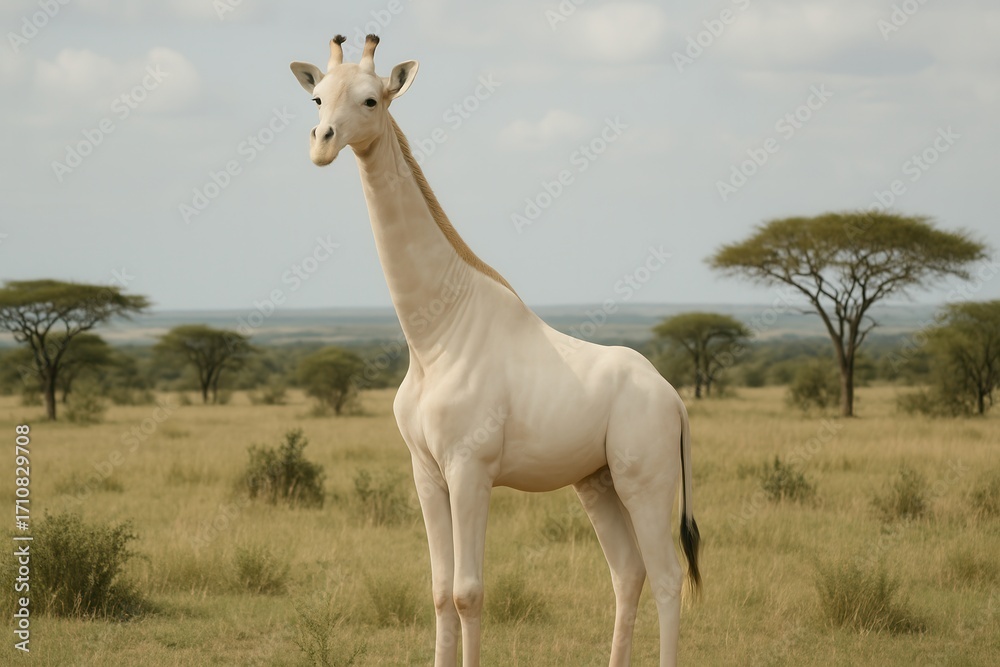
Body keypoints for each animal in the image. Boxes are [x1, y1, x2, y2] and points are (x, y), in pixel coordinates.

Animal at [290, 34, 701, 667]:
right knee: (627, 574)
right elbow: (439, 591)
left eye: (370, 99)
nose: (322, 144)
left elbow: (469, 592)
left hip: (647, 482)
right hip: (598, 482)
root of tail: (673, 399)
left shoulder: (470, 469)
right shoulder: (426, 473)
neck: (435, 337)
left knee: (666, 577)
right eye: (316, 98)